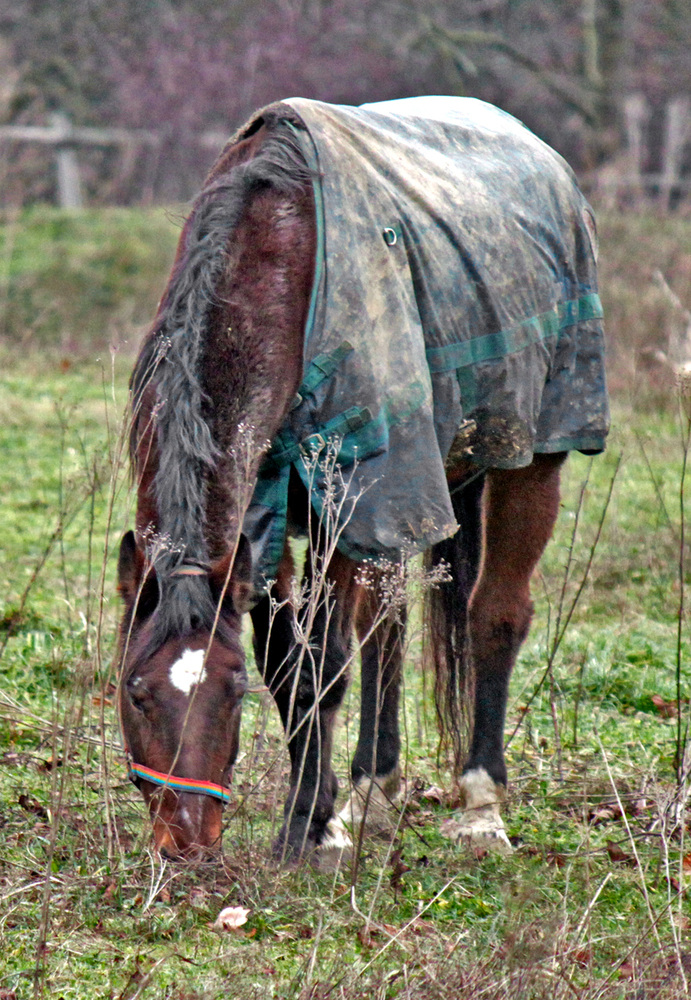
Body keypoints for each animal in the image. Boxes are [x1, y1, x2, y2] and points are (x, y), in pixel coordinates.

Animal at [119, 95, 612, 860]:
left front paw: (307, 831)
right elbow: (290, 665)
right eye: (137, 692)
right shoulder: (262, 519)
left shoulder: (346, 502)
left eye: (230, 692)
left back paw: (480, 807)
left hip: (530, 461)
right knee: (387, 631)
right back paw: (372, 792)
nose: (189, 842)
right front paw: (320, 816)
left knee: (495, 615)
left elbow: (321, 666)